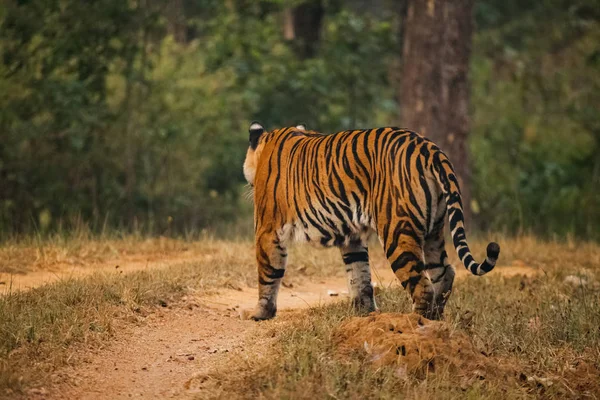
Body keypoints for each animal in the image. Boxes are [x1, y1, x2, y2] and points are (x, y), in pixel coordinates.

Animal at [241, 122, 500, 322]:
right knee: (445, 273)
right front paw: (365, 313)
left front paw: (260, 313)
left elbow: (268, 272)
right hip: (434, 232)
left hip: (397, 233)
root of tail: (428, 147)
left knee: (422, 285)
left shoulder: (267, 229)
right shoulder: (352, 237)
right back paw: (436, 319)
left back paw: (415, 321)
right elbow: (360, 276)